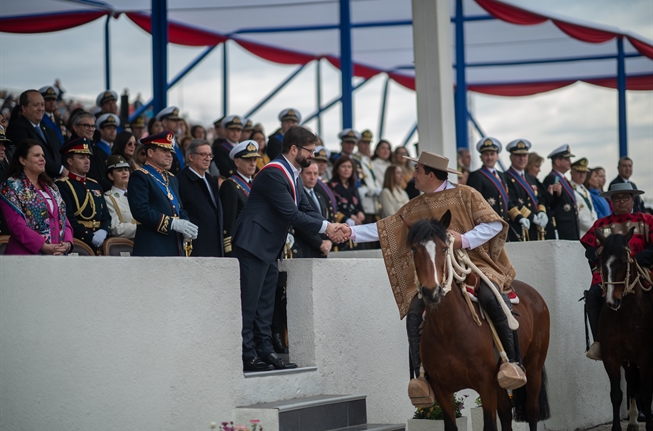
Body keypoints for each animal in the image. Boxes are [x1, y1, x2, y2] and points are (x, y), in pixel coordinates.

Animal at [408, 213, 552, 431]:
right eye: (415, 249)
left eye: (444, 248)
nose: (431, 292)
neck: (448, 331)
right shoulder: (442, 390)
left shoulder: (485, 384)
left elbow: (490, 425)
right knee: (506, 411)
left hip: (534, 365)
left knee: (532, 410)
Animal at [596, 228, 652, 430]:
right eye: (601, 262)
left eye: (624, 262)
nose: (612, 302)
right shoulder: (611, 357)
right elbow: (616, 394)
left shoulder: (646, 357)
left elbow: (646, 393)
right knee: (631, 380)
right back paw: (633, 420)